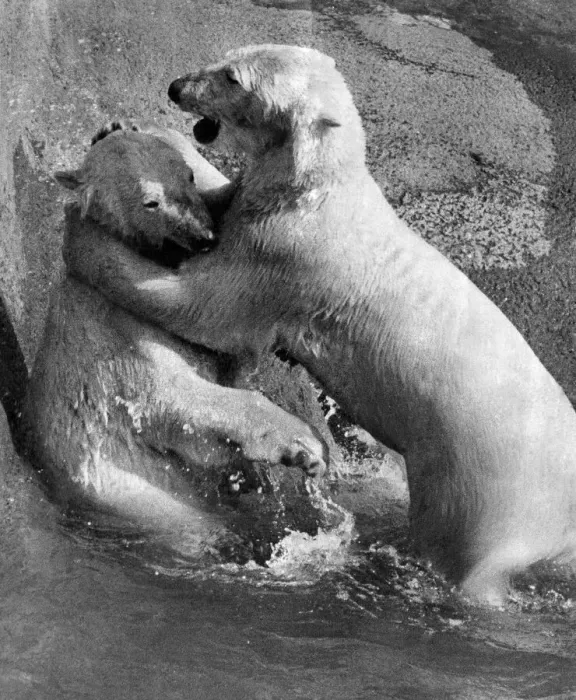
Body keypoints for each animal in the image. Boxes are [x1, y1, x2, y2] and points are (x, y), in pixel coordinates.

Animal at [25, 121, 330, 561]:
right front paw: (304, 447)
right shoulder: (121, 335)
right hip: (157, 506)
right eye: (151, 202)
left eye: (187, 175)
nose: (204, 236)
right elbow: (176, 399)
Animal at [63, 46, 576, 603]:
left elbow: (204, 308)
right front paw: (119, 128)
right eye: (230, 56)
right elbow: (224, 198)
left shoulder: (284, 256)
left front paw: (85, 238)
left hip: (483, 496)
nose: (176, 87)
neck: (317, 189)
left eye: (232, 78)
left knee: (456, 551)